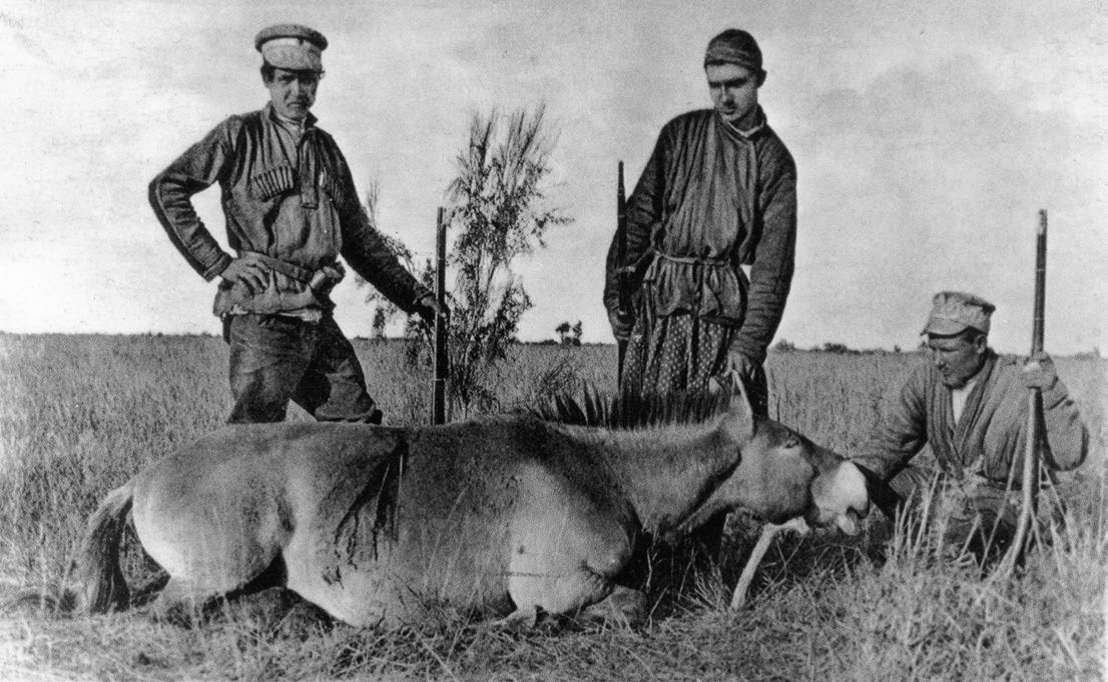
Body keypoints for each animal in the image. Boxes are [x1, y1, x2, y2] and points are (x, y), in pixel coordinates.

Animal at [69, 385, 868, 624]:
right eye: (792, 443)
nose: (862, 491)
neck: (601, 469)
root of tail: (142, 477)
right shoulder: (562, 585)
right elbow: (629, 604)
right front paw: (514, 626)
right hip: (217, 570)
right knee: (163, 613)